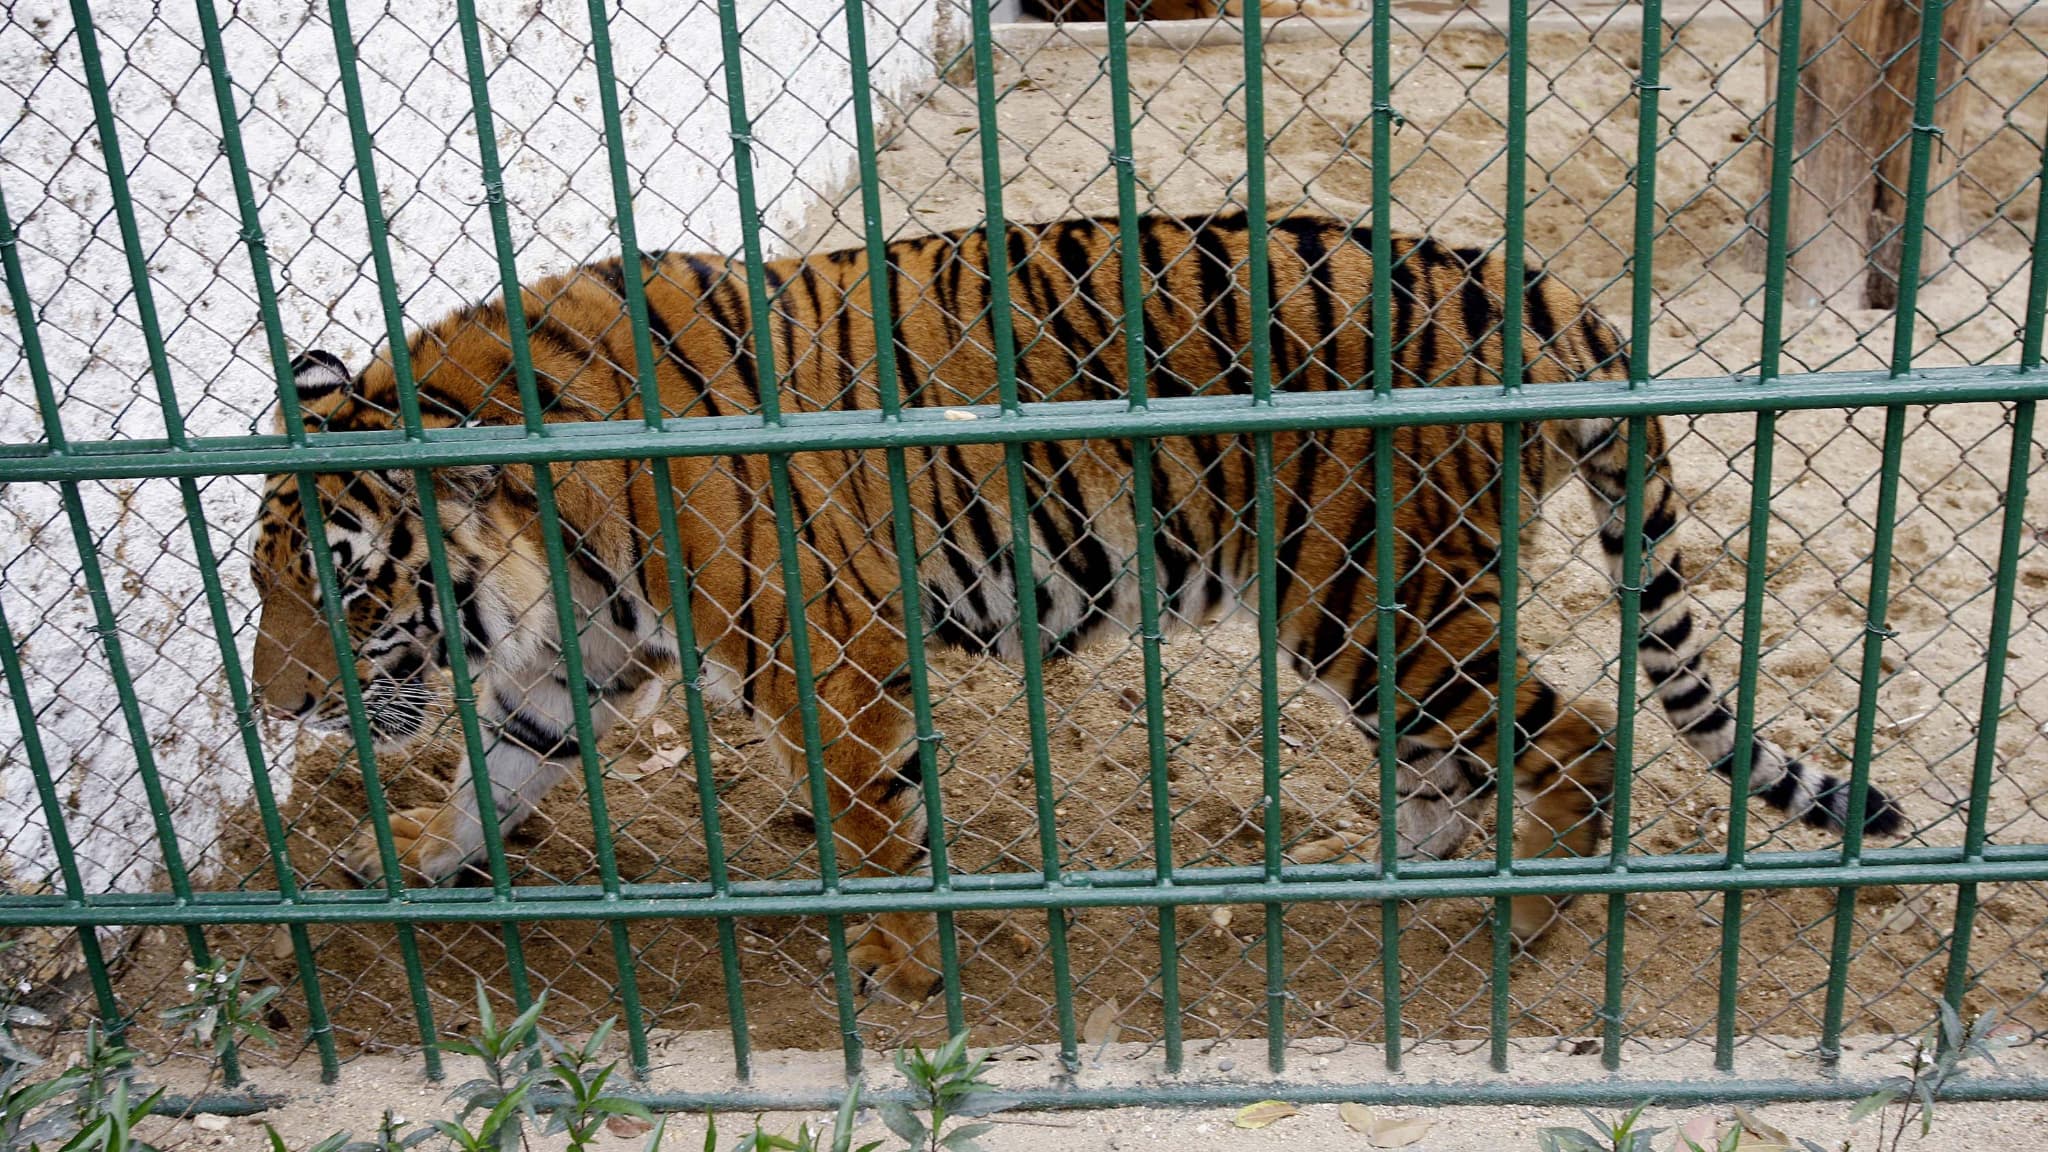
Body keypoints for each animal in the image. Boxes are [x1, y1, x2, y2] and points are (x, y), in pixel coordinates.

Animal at [251, 211, 1900, 1000]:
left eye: (337, 585)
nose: (279, 705)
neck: (547, 536)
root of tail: (1535, 293)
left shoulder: (830, 660)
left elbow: (874, 828)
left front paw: (901, 973)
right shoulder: (578, 662)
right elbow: (495, 766)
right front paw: (404, 860)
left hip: (1381, 608)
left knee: (1580, 745)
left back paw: (1512, 927)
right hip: (1387, 626)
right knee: (1465, 764)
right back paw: (1389, 879)